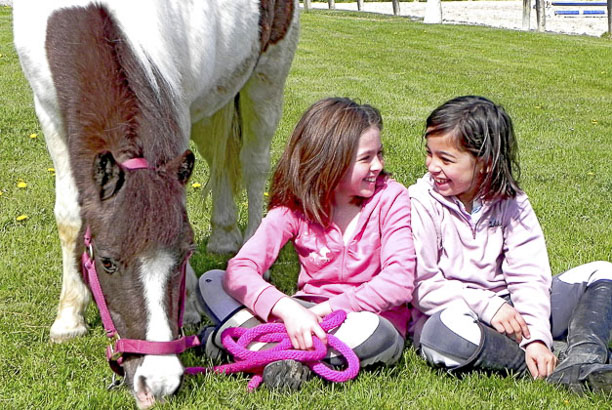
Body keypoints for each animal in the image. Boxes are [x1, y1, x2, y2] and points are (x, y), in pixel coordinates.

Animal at [13, 0, 300, 406]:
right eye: (107, 262)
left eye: (184, 254)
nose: (158, 380)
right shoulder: (49, 111)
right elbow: (70, 215)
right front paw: (69, 318)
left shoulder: (175, 100)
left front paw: (192, 303)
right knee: (219, 157)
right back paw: (224, 236)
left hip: (266, 76)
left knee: (253, 164)